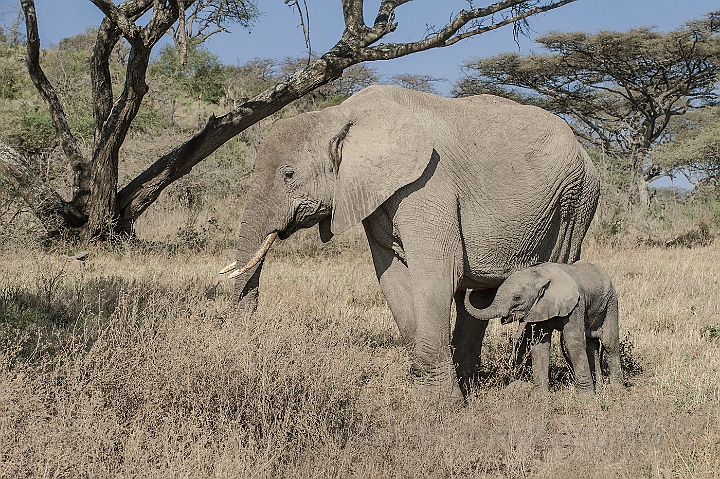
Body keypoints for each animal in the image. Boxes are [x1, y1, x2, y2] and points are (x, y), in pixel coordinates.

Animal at [221, 84, 600, 404]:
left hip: (575, 202)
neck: (341, 115)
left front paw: (442, 406)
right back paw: (471, 379)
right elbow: (392, 278)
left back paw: (523, 384)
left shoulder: (428, 182)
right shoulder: (375, 196)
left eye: (288, 175)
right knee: (479, 296)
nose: (245, 350)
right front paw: (426, 391)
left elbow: (438, 273)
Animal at [464, 260, 620, 396]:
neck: (540, 275)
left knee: (609, 343)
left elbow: (573, 343)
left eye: (517, 298)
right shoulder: (539, 307)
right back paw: (599, 387)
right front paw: (539, 397)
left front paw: (587, 398)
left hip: (611, 302)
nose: (469, 289)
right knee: (591, 344)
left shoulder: (576, 305)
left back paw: (616, 390)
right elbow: (540, 344)